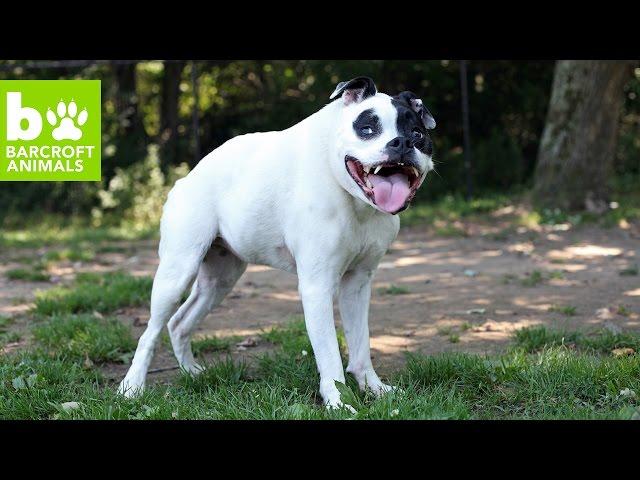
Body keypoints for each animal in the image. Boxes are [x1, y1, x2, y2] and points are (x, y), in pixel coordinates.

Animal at [119, 76, 436, 408]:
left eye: (418, 134)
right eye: (367, 129)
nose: (402, 143)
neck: (355, 201)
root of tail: (189, 176)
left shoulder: (358, 284)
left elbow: (361, 344)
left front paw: (372, 388)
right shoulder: (317, 286)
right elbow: (330, 356)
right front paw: (338, 401)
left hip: (219, 280)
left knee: (179, 323)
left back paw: (192, 373)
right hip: (176, 273)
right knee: (151, 331)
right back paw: (132, 387)